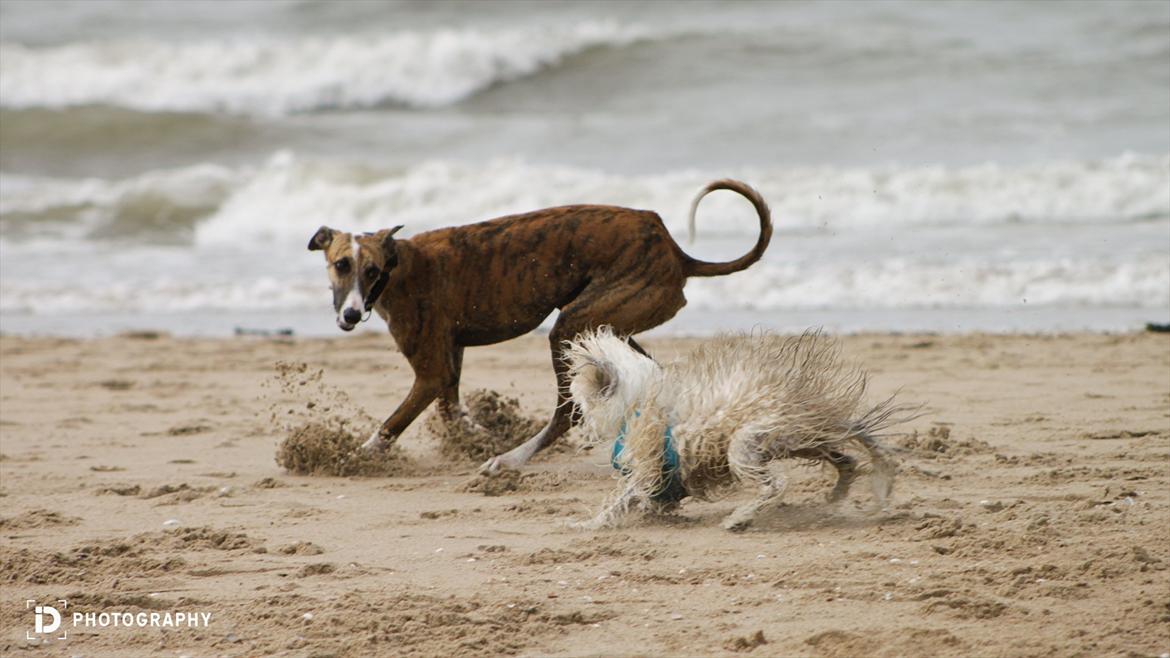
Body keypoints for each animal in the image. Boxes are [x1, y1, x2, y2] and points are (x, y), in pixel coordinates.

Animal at [306, 177, 772, 470]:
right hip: (609, 327)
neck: (399, 265)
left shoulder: (430, 372)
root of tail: (675, 250)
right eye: (341, 265)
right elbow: (453, 409)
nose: (350, 315)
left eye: (371, 270)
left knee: (567, 413)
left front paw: (352, 457)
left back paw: (511, 459)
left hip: (571, 326)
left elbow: (393, 424)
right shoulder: (449, 359)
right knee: (649, 377)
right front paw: (480, 435)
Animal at [566, 327, 912, 526]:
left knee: (776, 484)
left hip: (748, 441)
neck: (635, 400)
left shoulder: (647, 464)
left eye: (580, 404)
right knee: (848, 457)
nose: (580, 433)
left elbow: (626, 496)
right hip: (802, 438)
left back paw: (741, 517)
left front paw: (591, 524)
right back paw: (841, 489)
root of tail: (802, 400)